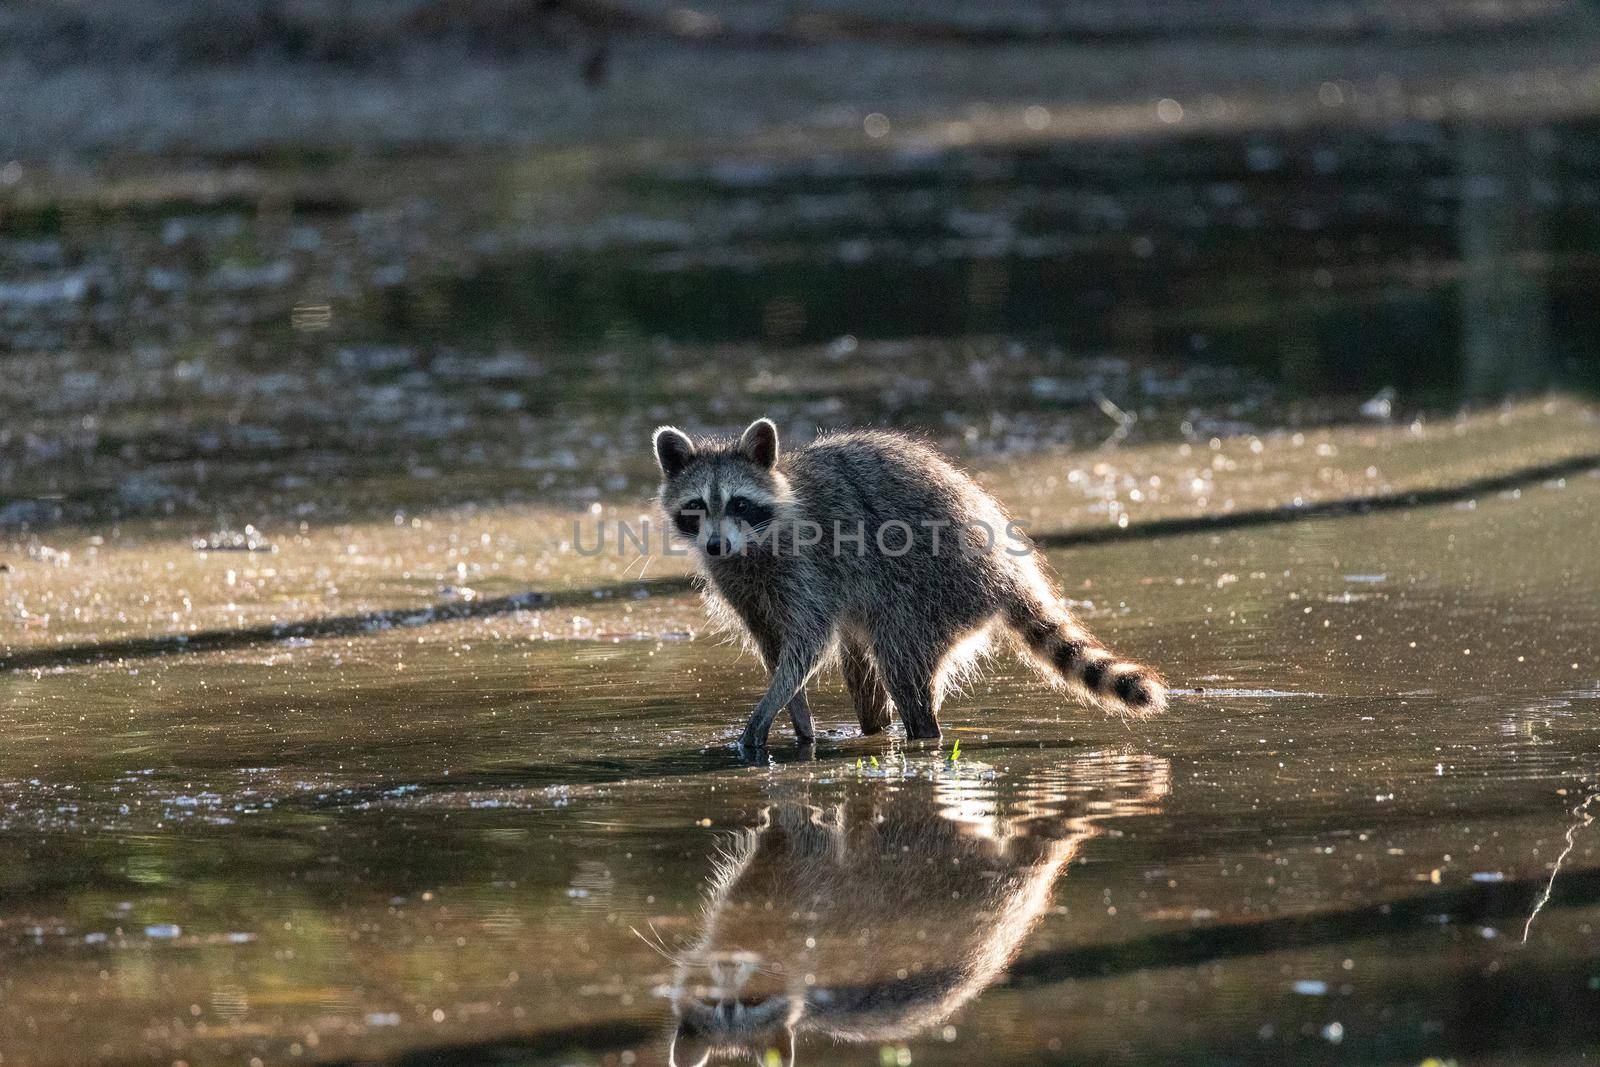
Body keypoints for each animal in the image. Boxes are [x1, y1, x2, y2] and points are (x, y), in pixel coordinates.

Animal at [656, 419, 1171, 751]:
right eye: (696, 506)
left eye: (740, 504)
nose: (716, 545)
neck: (750, 546)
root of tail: (1008, 571)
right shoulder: (741, 585)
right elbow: (774, 647)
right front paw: (797, 719)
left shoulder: (809, 566)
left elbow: (808, 644)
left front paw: (766, 713)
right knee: (863, 669)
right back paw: (873, 727)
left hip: (930, 590)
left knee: (900, 663)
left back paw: (922, 734)